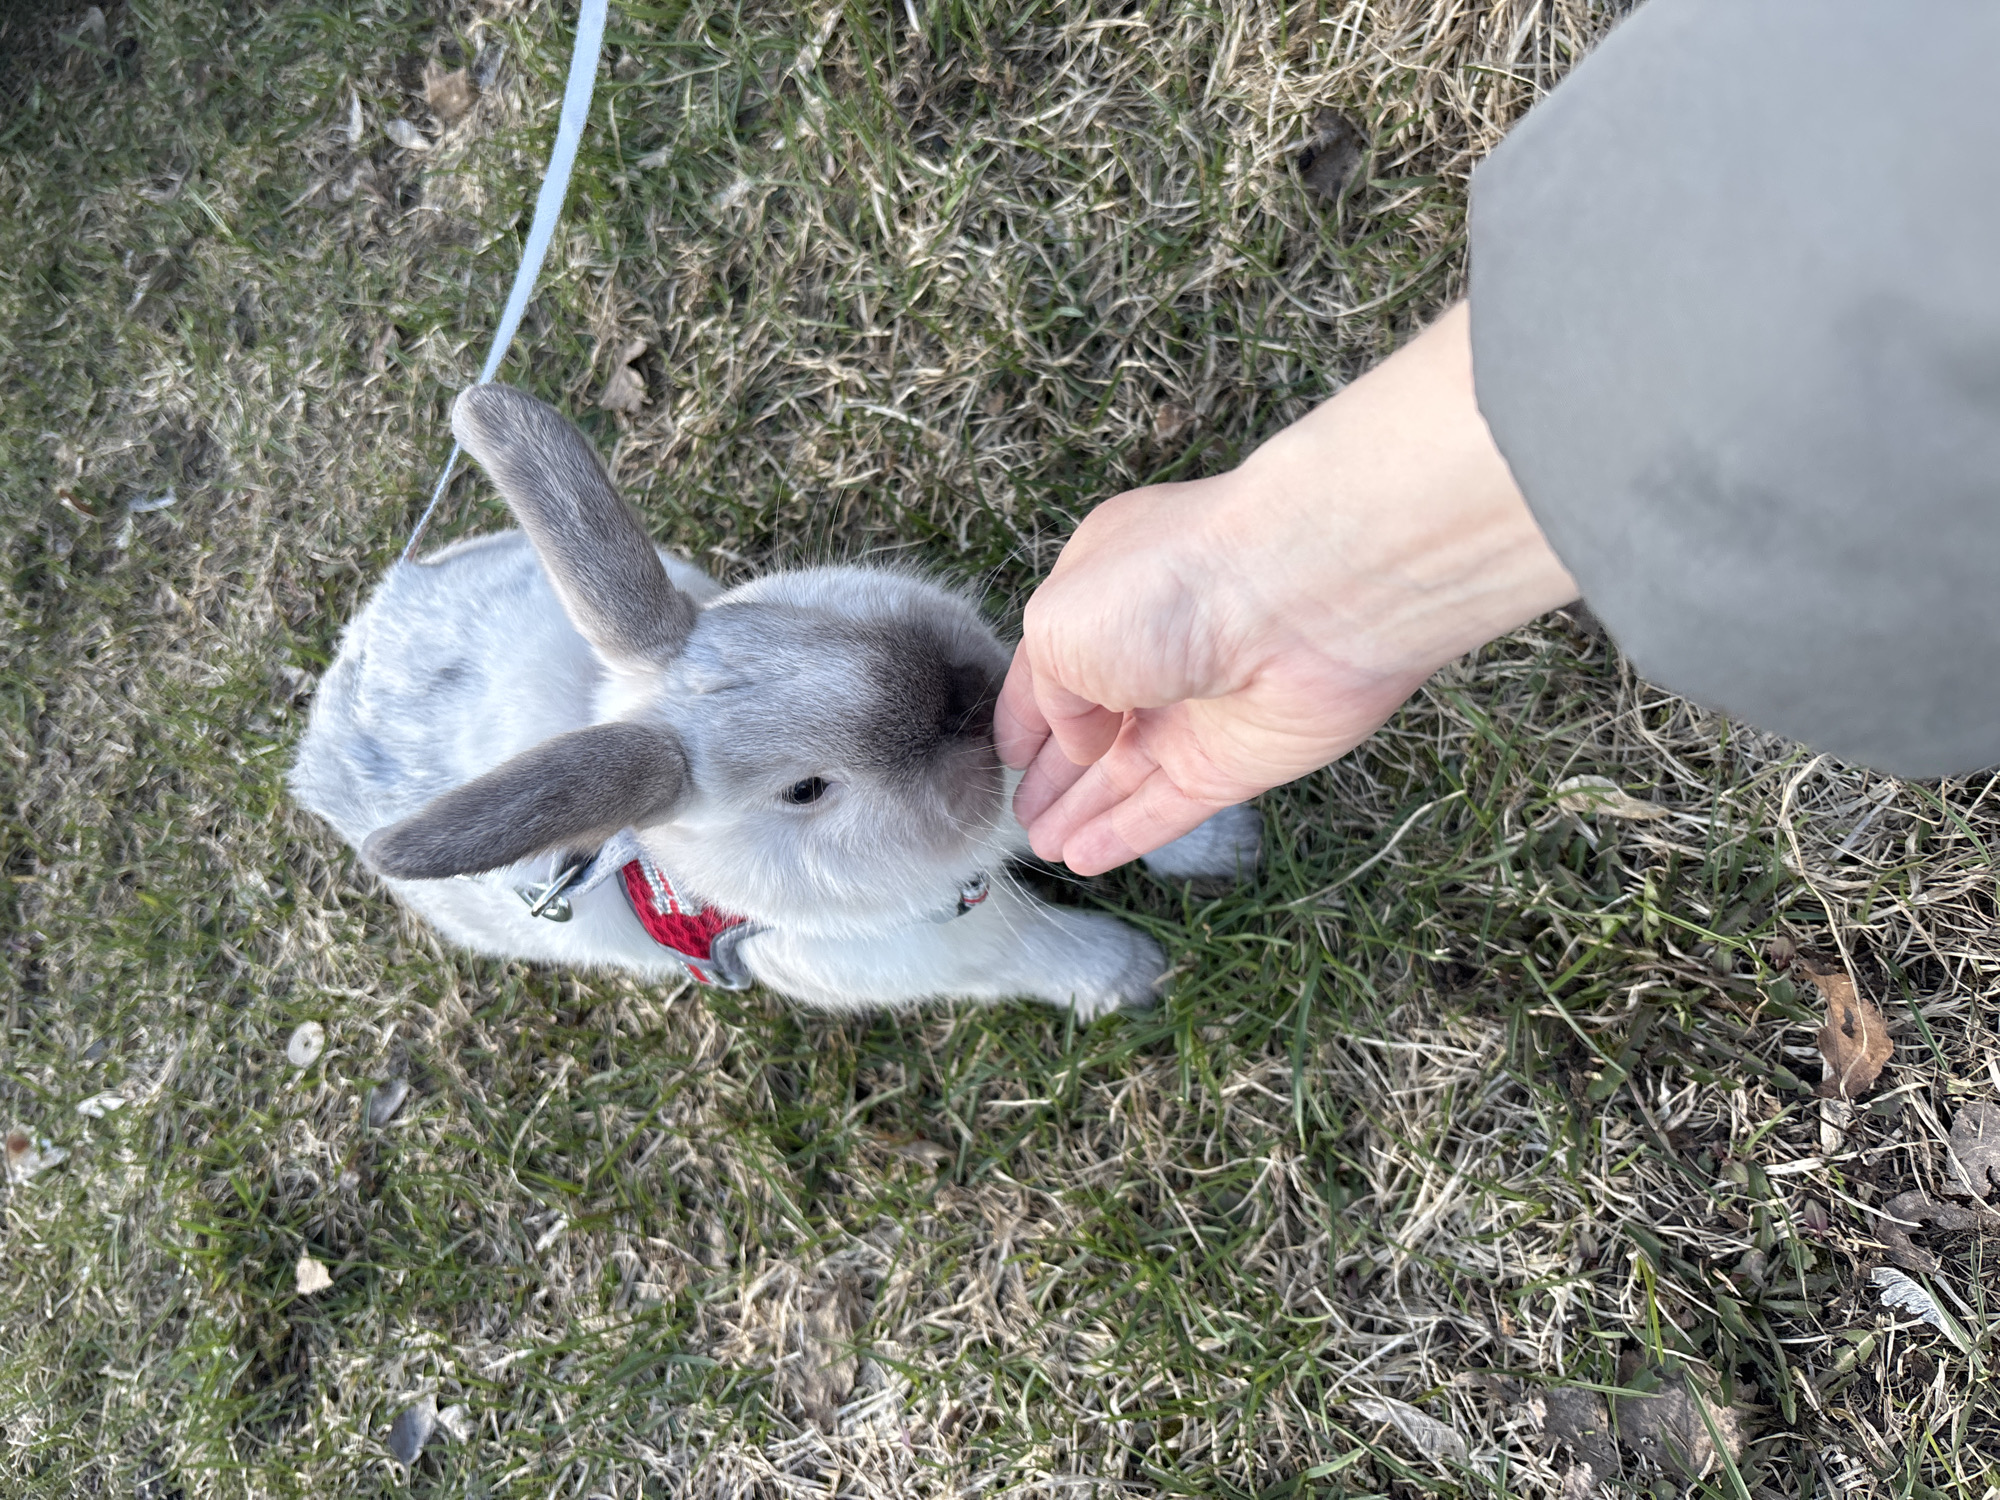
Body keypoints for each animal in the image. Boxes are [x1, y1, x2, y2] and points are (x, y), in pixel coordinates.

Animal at [290, 384, 1262, 1017]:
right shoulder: (967, 950)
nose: (966, 694)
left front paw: (1227, 841)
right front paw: (1141, 975)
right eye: (804, 791)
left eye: (795, 620)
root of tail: (350, 661)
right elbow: (1054, 949)